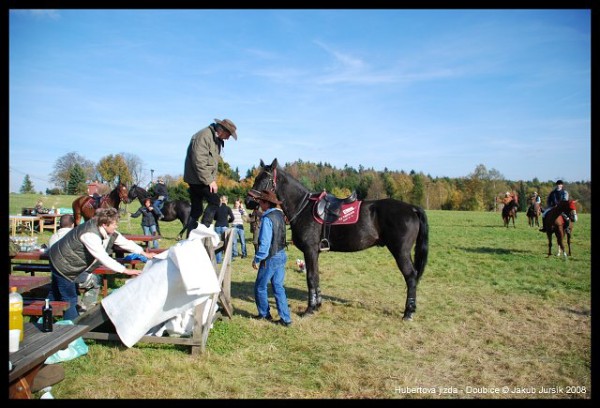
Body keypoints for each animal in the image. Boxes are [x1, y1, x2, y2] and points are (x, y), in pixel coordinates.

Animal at [246, 159, 428, 322]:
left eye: (265, 180)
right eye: (255, 178)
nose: (248, 202)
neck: (303, 207)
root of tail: (412, 208)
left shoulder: (310, 250)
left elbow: (310, 278)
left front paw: (309, 309)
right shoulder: (315, 252)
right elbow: (316, 277)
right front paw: (317, 305)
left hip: (401, 252)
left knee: (411, 276)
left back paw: (408, 313)